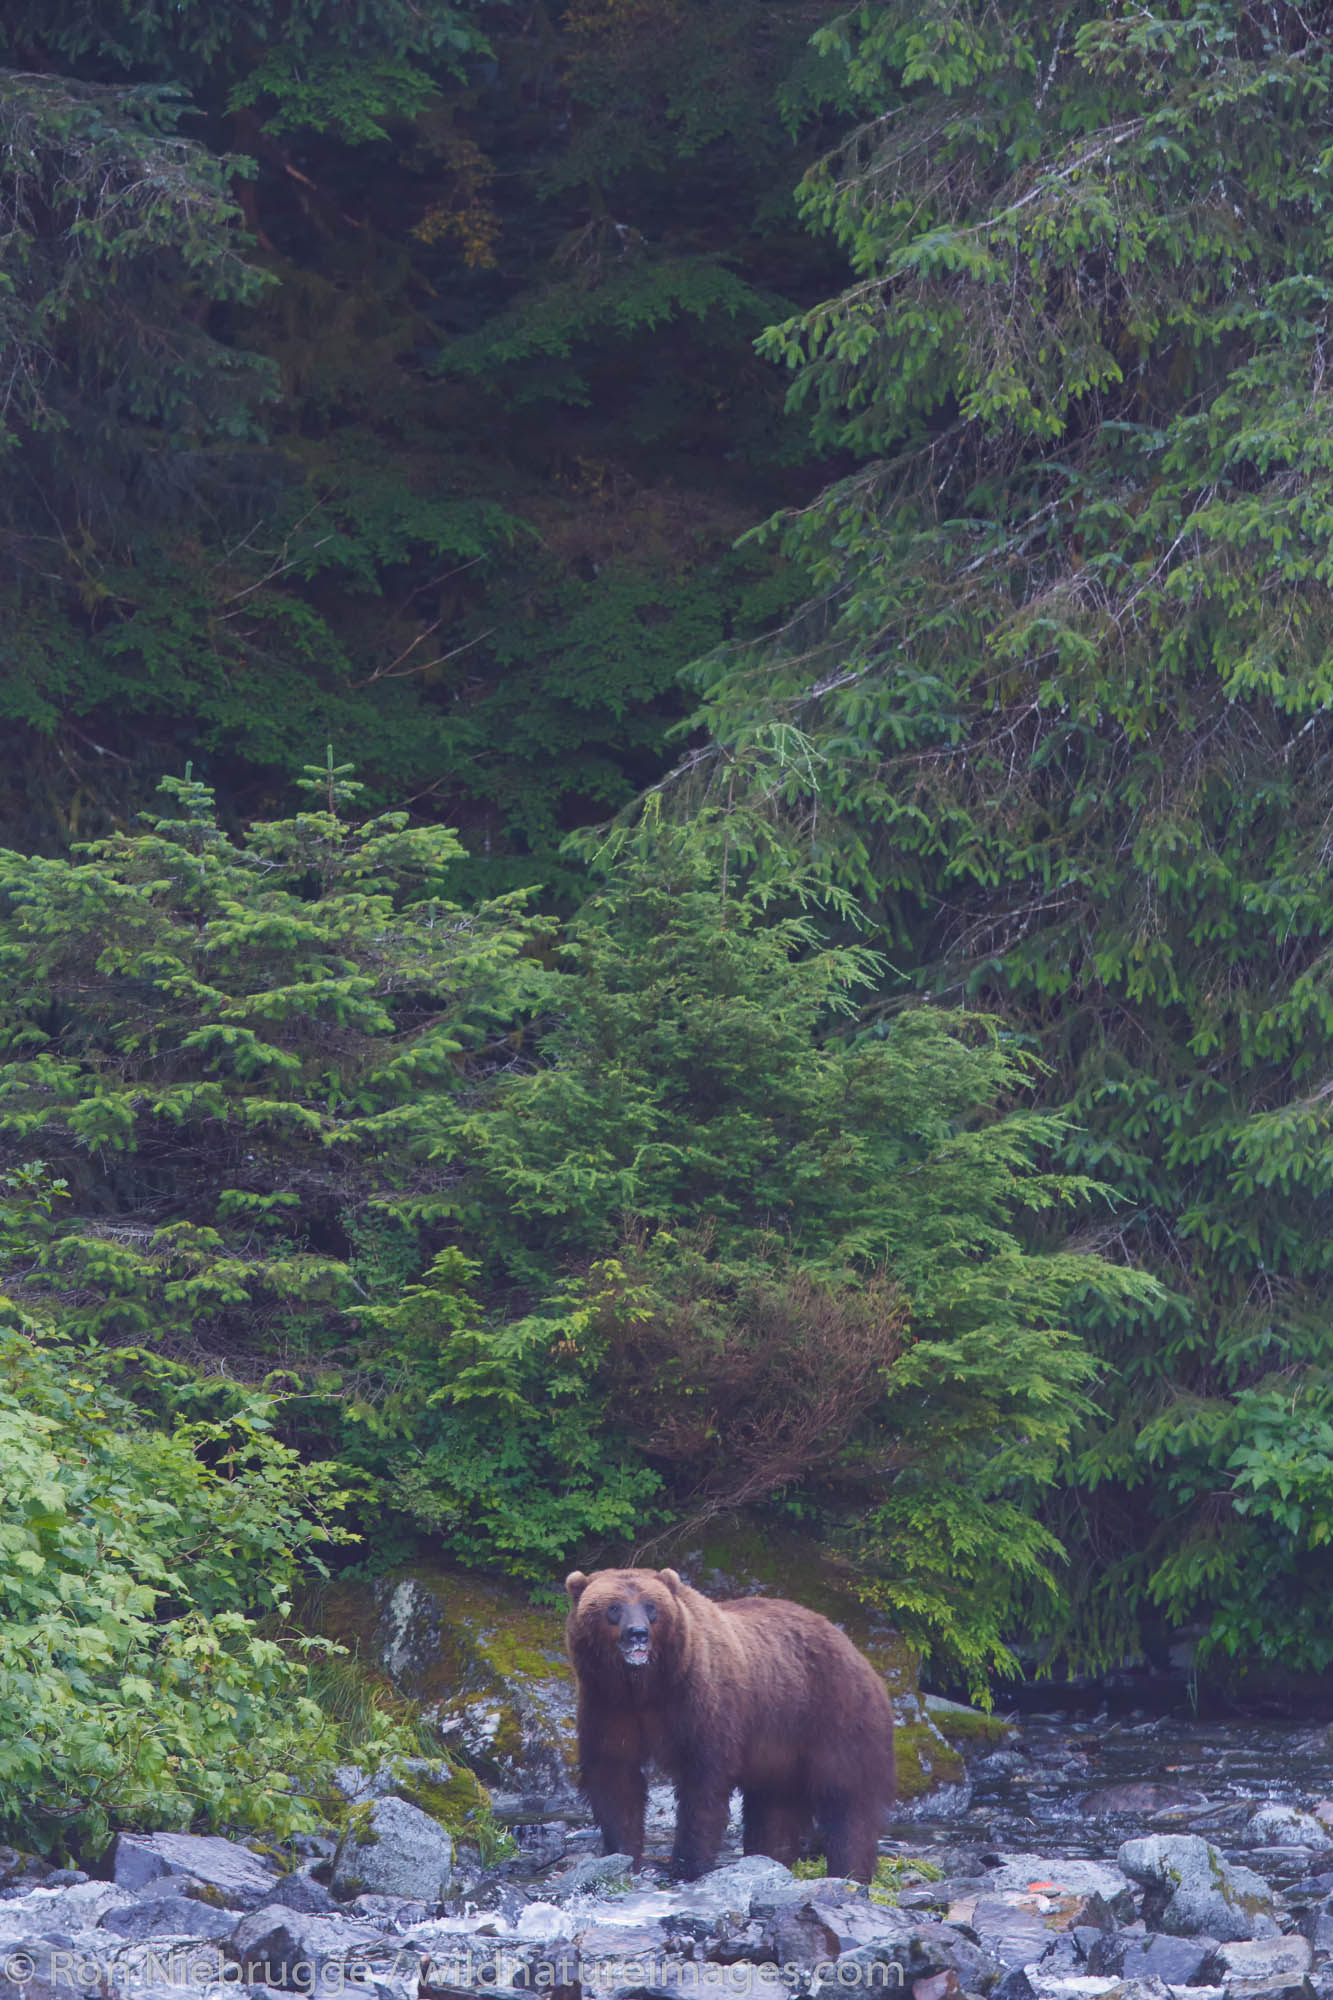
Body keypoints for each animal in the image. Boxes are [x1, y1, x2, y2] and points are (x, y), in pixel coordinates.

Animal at [560, 1568, 892, 1880]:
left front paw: (688, 1864)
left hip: (836, 1714)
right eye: (613, 1607)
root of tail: (856, 1652)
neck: (645, 1686)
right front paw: (623, 1855)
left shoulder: (699, 1702)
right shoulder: (608, 1706)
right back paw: (771, 1857)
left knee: (848, 1798)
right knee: (773, 1808)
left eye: (651, 1606)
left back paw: (850, 1870)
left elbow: (703, 1783)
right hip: (780, 1745)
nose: (637, 1633)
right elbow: (614, 1776)